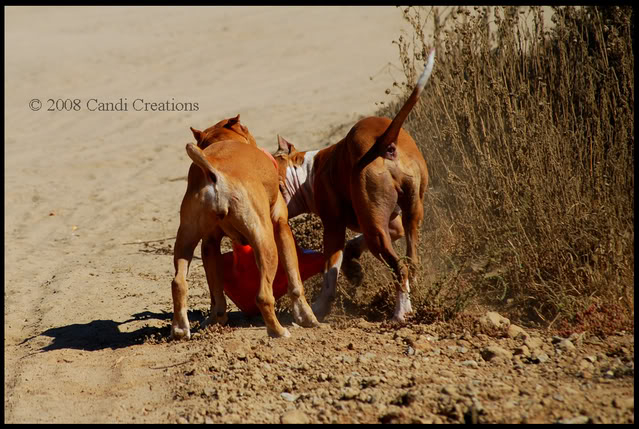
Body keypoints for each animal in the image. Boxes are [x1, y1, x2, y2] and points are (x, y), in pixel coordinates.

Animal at [171, 115, 318, 340]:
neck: (222, 140)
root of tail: (213, 168)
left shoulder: (209, 245)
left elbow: (217, 293)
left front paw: (216, 320)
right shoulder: (282, 229)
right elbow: (295, 281)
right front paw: (307, 318)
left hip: (185, 239)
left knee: (178, 283)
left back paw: (180, 329)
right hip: (266, 243)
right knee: (263, 296)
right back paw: (277, 331)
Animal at [272, 49, 438, 320]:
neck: (308, 171)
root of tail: (383, 143)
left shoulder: (333, 228)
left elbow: (330, 273)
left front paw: (319, 308)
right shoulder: (392, 226)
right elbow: (355, 244)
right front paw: (353, 265)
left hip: (375, 231)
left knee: (400, 268)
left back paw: (400, 312)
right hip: (406, 215)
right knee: (410, 262)